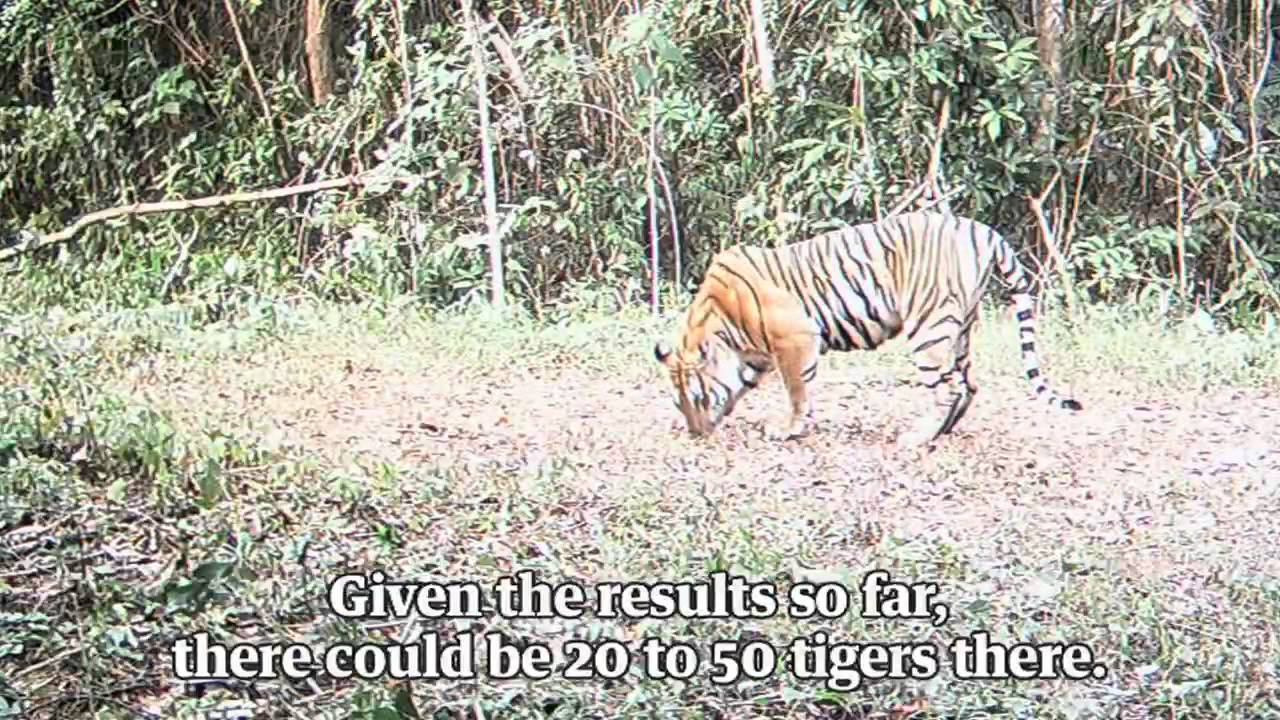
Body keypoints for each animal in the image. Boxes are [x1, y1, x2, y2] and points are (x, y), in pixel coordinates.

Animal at [652, 210, 1082, 448]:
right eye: (678, 402)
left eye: (697, 397)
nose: (696, 434)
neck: (715, 322)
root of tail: (985, 232)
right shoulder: (756, 357)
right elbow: (742, 386)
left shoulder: (795, 341)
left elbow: (796, 392)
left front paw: (790, 429)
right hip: (960, 327)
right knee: (968, 384)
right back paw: (942, 431)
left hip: (929, 327)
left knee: (949, 388)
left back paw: (918, 438)